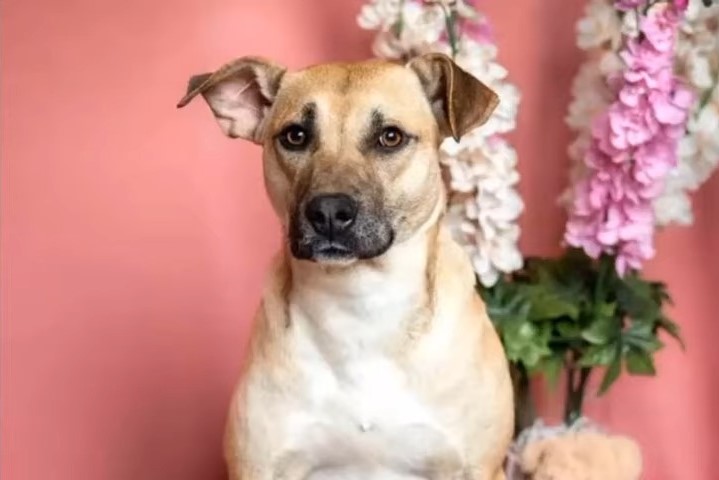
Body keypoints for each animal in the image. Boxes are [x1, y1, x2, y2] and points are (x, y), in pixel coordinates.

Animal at [177, 52, 516, 480]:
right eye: (295, 136)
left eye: (390, 137)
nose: (328, 213)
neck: (359, 302)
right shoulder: (258, 467)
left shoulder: (477, 468)